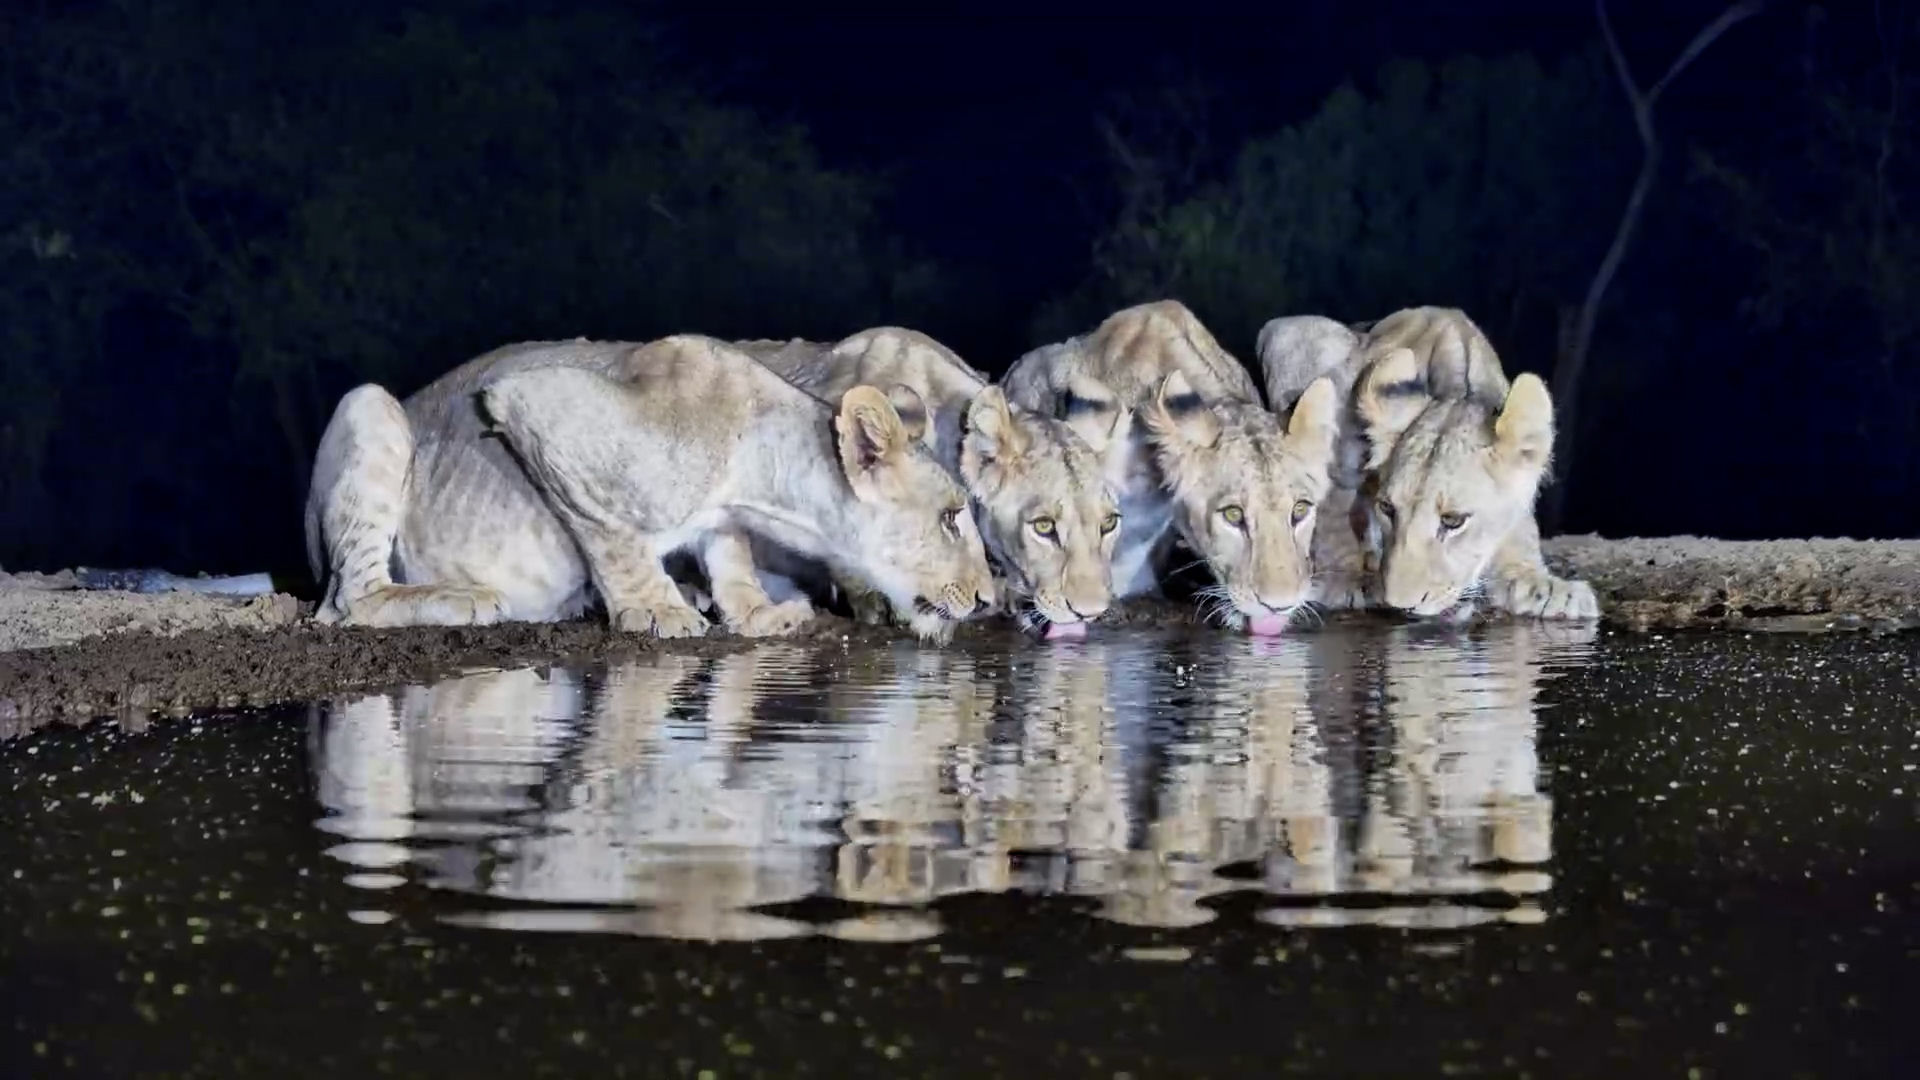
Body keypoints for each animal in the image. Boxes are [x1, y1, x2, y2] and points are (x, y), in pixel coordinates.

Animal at [303, 334, 997, 641]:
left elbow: (730, 549)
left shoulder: (725, 515)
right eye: (951, 517)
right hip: (370, 406)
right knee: (352, 599)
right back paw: (458, 598)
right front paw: (657, 608)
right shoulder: (532, 403)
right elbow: (614, 537)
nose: (989, 598)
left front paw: (755, 611)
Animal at [1255, 305, 1598, 621]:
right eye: (1388, 509)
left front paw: (1537, 583)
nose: (1400, 606)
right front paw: (1348, 578)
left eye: (1453, 521)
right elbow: (1333, 512)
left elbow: (1520, 526)